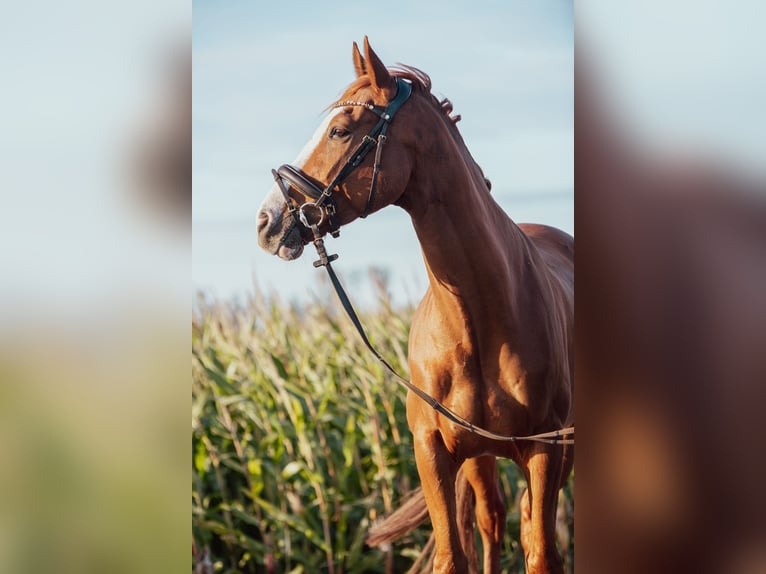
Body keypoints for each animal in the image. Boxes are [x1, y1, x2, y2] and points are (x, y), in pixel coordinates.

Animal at [260, 37, 576, 574]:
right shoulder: (432, 450)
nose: (267, 221)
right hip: (480, 459)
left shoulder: (545, 450)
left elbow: (541, 553)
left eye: (340, 131)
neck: (478, 317)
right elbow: (452, 555)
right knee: (492, 521)